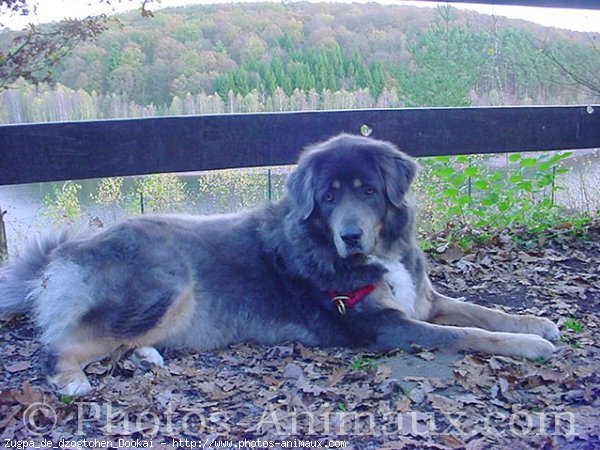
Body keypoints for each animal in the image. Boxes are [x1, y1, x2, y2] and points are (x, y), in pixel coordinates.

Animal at [1, 135, 556, 396]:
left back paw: (145, 357)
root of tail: (62, 253)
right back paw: (71, 380)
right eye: (329, 197)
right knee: (59, 344)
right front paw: (530, 346)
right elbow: (470, 334)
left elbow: (483, 313)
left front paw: (536, 323)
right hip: (165, 285)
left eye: (368, 192)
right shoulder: (383, 326)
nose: (350, 235)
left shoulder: (424, 299)